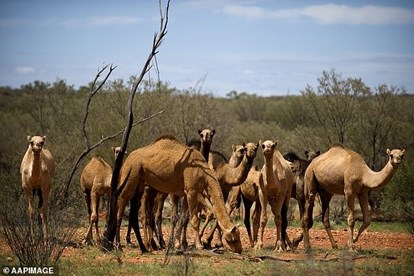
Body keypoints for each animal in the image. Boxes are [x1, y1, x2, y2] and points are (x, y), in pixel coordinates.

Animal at [115, 135, 243, 253]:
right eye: (234, 239)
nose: (240, 249)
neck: (205, 174)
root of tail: (127, 158)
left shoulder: (185, 193)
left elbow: (182, 218)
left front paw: (177, 244)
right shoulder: (191, 191)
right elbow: (194, 220)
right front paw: (199, 245)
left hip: (140, 183)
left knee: (135, 213)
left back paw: (145, 247)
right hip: (131, 175)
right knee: (121, 202)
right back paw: (120, 245)